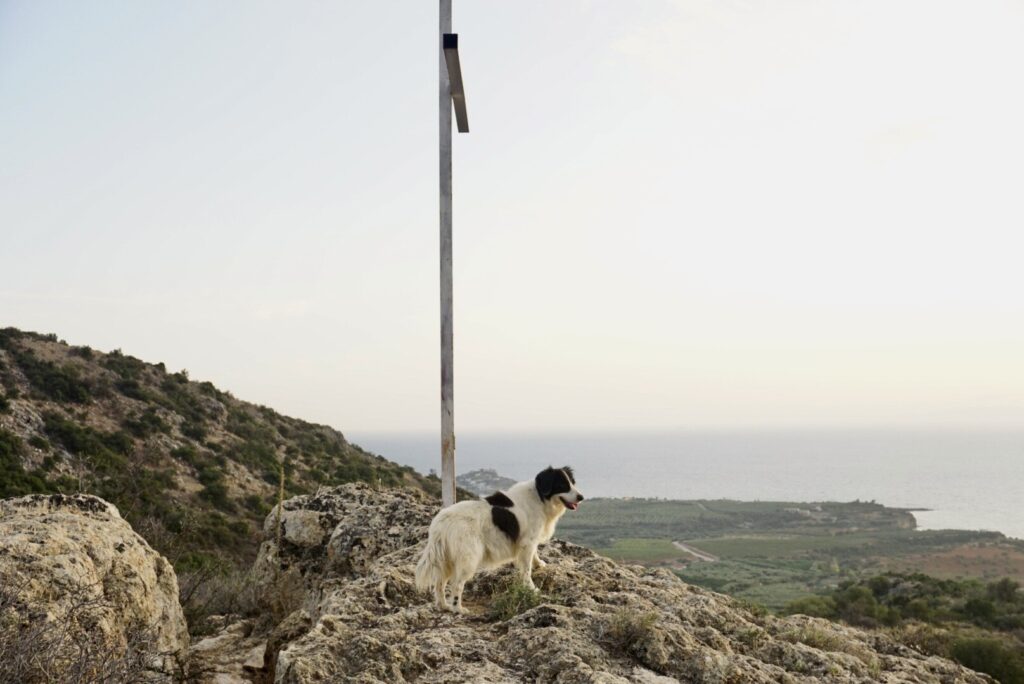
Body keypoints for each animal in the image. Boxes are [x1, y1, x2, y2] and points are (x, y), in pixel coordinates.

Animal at [411, 466, 581, 610]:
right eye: (562, 484)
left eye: (572, 482)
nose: (581, 497)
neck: (539, 497)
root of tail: (441, 522)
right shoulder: (527, 542)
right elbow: (526, 570)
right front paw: (531, 588)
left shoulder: (530, 541)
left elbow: (534, 555)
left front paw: (539, 564)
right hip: (468, 558)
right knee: (456, 584)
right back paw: (458, 609)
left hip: (446, 559)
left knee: (439, 583)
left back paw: (443, 606)